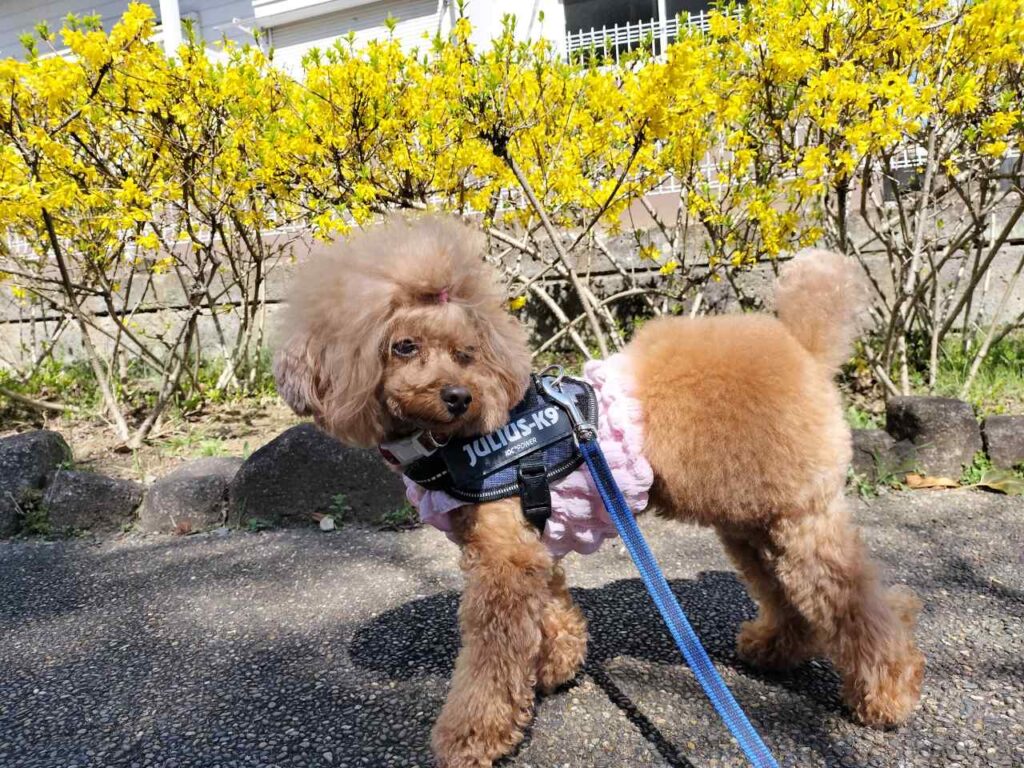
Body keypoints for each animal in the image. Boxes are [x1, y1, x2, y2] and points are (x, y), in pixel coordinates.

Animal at [273, 213, 924, 768]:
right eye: (403, 346)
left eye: (465, 352)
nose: (458, 396)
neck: (457, 443)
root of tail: (801, 346)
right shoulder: (528, 543)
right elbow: (551, 608)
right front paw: (556, 665)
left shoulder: (503, 558)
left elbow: (490, 657)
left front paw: (472, 737)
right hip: (754, 521)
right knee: (791, 591)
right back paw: (776, 647)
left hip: (797, 515)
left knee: (854, 600)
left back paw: (887, 695)